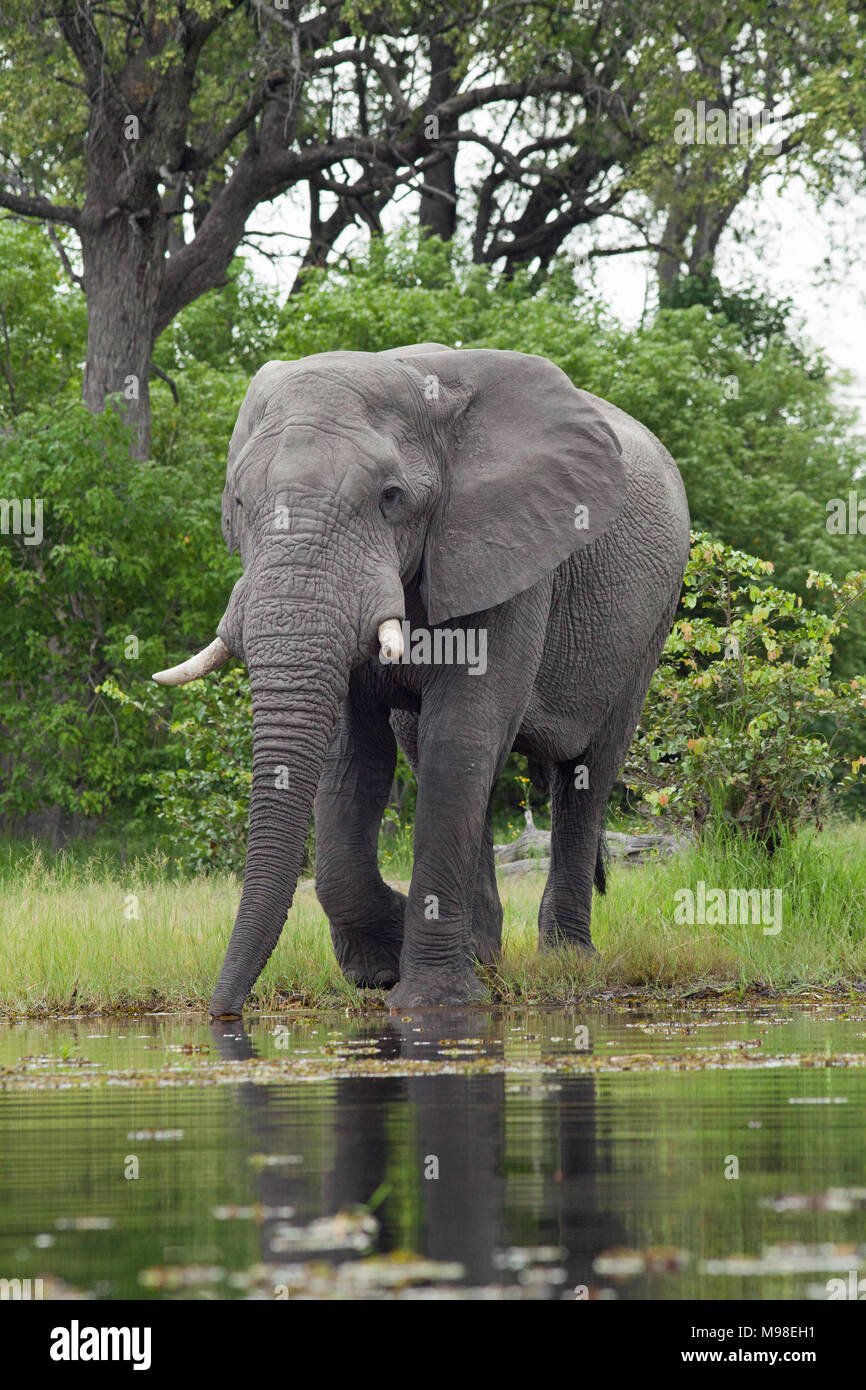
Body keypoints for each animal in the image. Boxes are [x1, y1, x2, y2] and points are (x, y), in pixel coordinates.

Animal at [154, 341, 692, 1017]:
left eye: (391, 497)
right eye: (240, 505)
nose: (222, 1013)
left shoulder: (505, 548)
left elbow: (461, 734)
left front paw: (430, 1002)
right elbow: (354, 754)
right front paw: (382, 965)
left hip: (652, 618)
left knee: (585, 772)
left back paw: (566, 960)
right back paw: (484, 956)